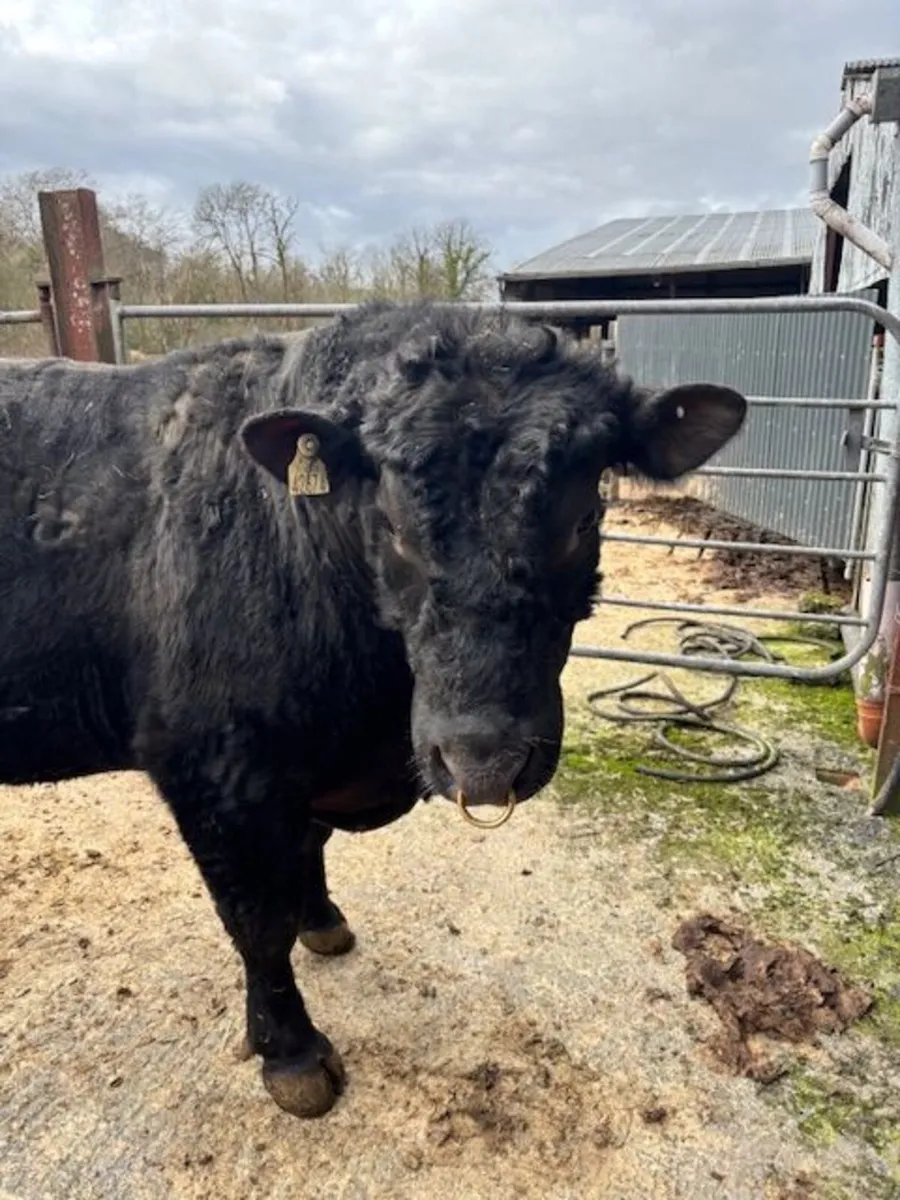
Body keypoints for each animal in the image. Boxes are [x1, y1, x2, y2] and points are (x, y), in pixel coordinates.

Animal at [0, 300, 746, 1119]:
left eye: (584, 519)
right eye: (390, 526)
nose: (483, 760)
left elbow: (307, 854)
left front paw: (322, 922)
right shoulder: (212, 771)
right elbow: (257, 922)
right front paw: (291, 1053)